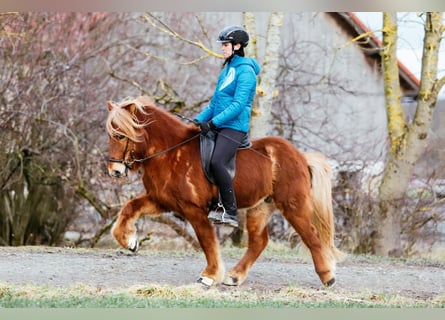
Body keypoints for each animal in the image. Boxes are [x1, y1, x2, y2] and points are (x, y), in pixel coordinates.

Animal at [105, 95, 344, 288]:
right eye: (111, 134)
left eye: (121, 135)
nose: (114, 171)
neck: (170, 153)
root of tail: (301, 157)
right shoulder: (161, 200)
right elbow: (129, 208)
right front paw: (130, 242)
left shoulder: (194, 209)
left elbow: (207, 242)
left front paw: (209, 276)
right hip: (261, 207)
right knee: (259, 242)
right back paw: (235, 276)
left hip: (293, 205)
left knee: (312, 236)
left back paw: (328, 277)